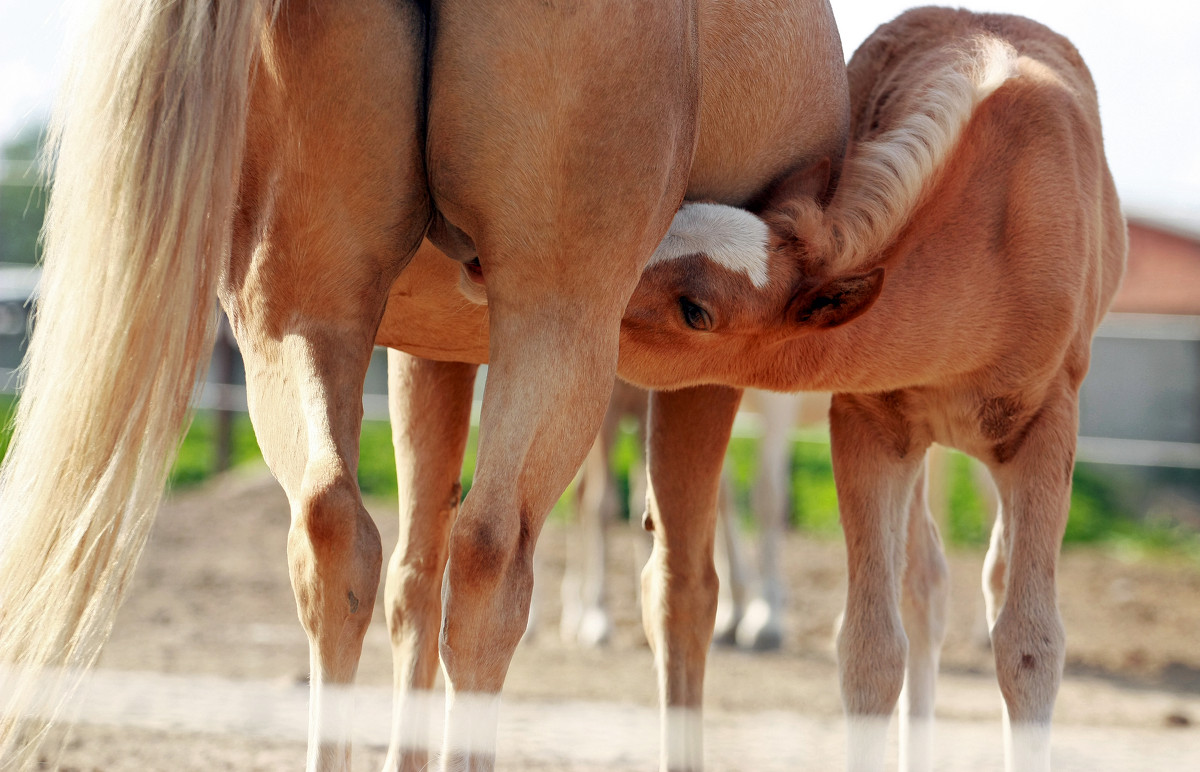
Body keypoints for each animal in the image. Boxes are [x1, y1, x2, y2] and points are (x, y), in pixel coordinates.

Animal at [624, 7, 1128, 772]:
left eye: (696, 311)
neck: (988, 257)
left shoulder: (1047, 429)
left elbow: (1030, 647)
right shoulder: (869, 426)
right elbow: (870, 649)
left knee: (983, 581)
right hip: (920, 444)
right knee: (924, 587)